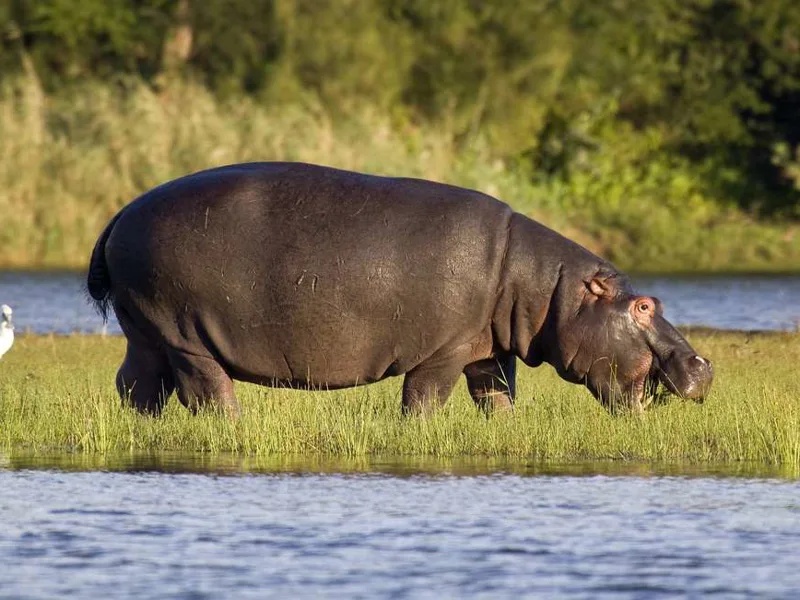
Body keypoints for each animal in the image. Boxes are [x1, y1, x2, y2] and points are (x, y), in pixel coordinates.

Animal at [87, 162, 713, 416]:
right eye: (643, 305)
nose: (703, 365)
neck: (545, 288)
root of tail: (119, 214)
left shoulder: (487, 352)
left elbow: (497, 400)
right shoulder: (442, 352)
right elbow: (424, 402)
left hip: (145, 331)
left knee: (137, 387)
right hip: (184, 335)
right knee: (207, 392)